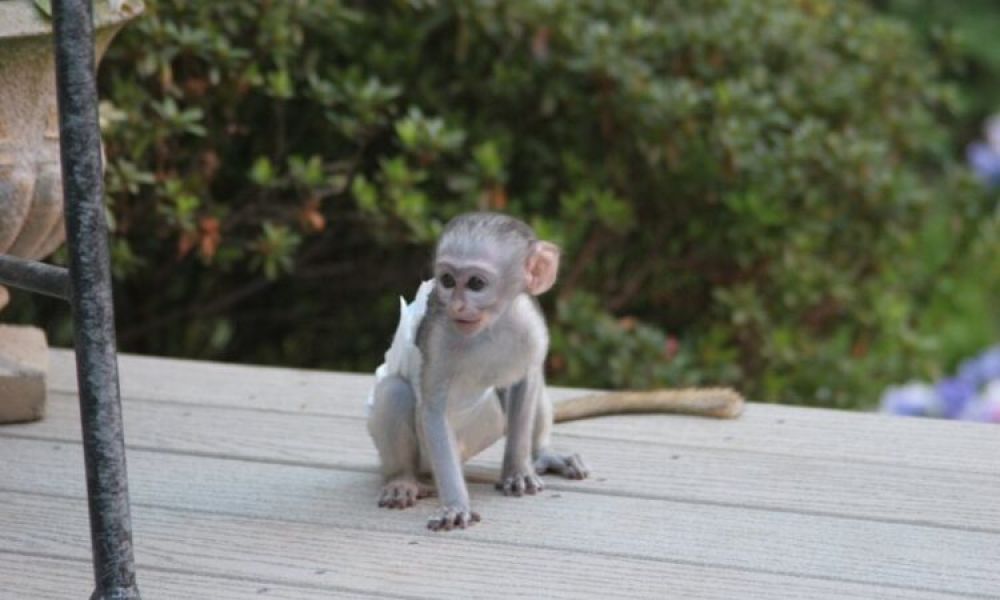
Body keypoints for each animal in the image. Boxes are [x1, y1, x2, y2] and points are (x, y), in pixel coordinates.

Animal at [368, 211, 744, 528]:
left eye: (475, 284)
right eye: (447, 280)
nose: (457, 305)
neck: (489, 328)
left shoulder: (529, 326)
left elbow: (526, 382)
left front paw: (517, 469)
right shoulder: (439, 337)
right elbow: (433, 409)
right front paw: (456, 504)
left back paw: (543, 454)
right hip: (429, 457)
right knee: (395, 392)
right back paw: (402, 479)